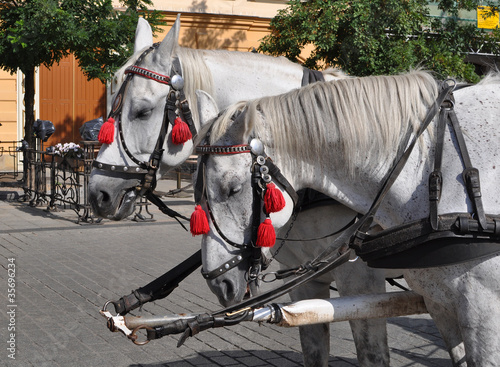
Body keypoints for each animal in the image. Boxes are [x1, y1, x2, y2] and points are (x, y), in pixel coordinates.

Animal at [89, 15, 398, 366]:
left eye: (142, 111)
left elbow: (372, 354)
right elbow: (314, 350)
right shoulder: (305, 282)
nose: (97, 192)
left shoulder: (361, 280)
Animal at [195, 70, 500, 366]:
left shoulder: (479, 310)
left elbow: (372, 354)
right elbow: (314, 351)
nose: (218, 283)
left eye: (233, 189)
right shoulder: (439, 301)